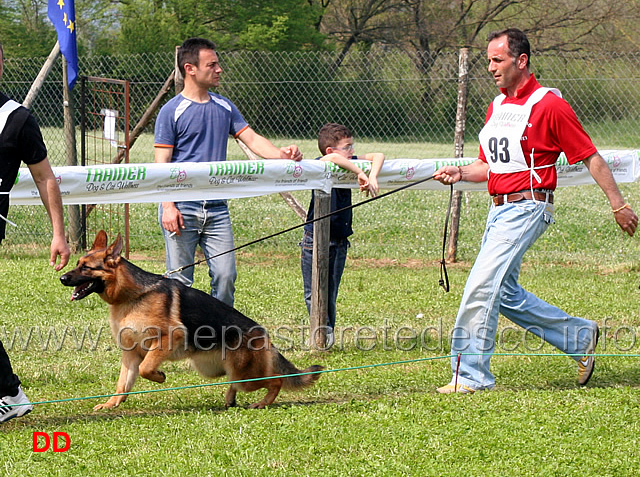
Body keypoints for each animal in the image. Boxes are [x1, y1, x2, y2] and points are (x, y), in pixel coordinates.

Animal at [60, 231, 322, 410]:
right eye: (77, 264)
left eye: (86, 268)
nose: (62, 278)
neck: (133, 296)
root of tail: (264, 335)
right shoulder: (130, 353)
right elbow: (123, 383)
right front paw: (112, 404)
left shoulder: (167, 339)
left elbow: (146, 368)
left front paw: (159, 376)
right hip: (220, 371)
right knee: (237, 383)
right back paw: (230, 400)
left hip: (246, 376)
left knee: (276, 381)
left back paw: (262, 402)